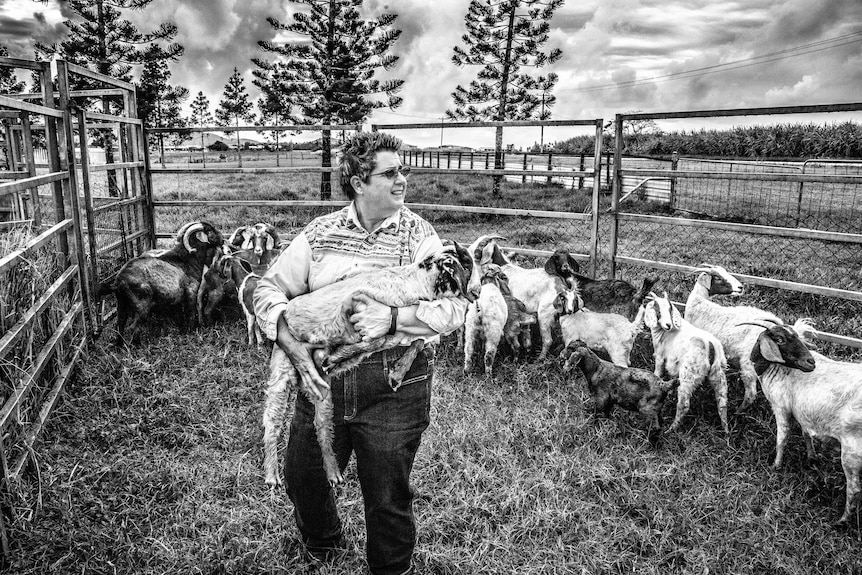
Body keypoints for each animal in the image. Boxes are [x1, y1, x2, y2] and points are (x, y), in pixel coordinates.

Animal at [266, 243, 476, 490]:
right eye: (462, 265)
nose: (473, 295)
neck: (414, 282)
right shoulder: (353, 306)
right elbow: (371, 339)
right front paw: (338, 355)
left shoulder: (396, 328)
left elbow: (417, 341)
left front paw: (396, 373)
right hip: (282, 375)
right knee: (272, 425)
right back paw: (272, 475)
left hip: (323, 391)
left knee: (321, 426)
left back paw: (332, 473)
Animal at [644, 292, 732, 432]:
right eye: (658, 310)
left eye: (670, 309)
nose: (668, 324)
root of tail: (710, 344)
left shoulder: (660, 355)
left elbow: (658, 371)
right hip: (719, 372)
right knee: (722, 401)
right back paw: (726, 430)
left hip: (689, 374)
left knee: (684, 405)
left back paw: (671, 429)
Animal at [684, 264, 788, 412]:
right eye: (717, 277)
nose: (740, 287)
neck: (699, 301)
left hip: (749, 362)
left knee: (751, 393)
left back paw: (738, 410)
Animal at [744, 318, 860, 528]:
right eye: (780, 339)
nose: (811, 362)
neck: (778, 368)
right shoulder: (802, 413)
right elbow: (806, 434)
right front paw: (811, 457)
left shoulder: (780, 407)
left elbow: (782, 439)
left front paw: (775, 466)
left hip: (852, 451)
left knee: (854, 489)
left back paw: (842, 520)